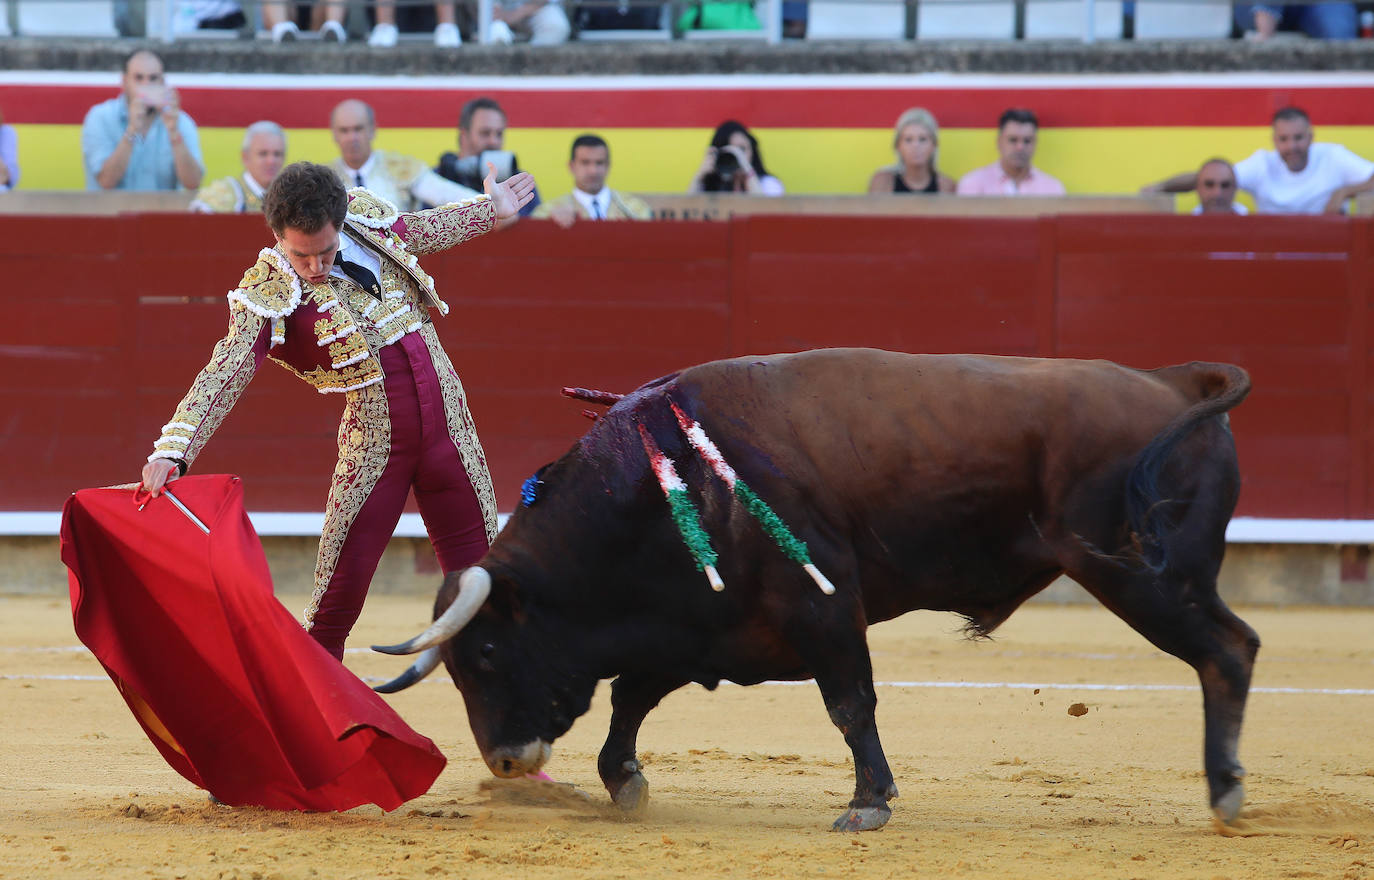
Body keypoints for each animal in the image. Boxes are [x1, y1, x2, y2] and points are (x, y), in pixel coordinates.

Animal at [373, 350, 1258, 830]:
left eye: (489, 651)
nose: (505, 761)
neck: (662, 485)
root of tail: (1175, 385)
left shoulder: (824, 608)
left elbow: (849, 704)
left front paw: (868, 802)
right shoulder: (704, 625)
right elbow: (631, 695)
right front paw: (624, 781)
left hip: (1140, 574)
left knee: (1228, 651)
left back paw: (1224, 792)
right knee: (1233, 647)